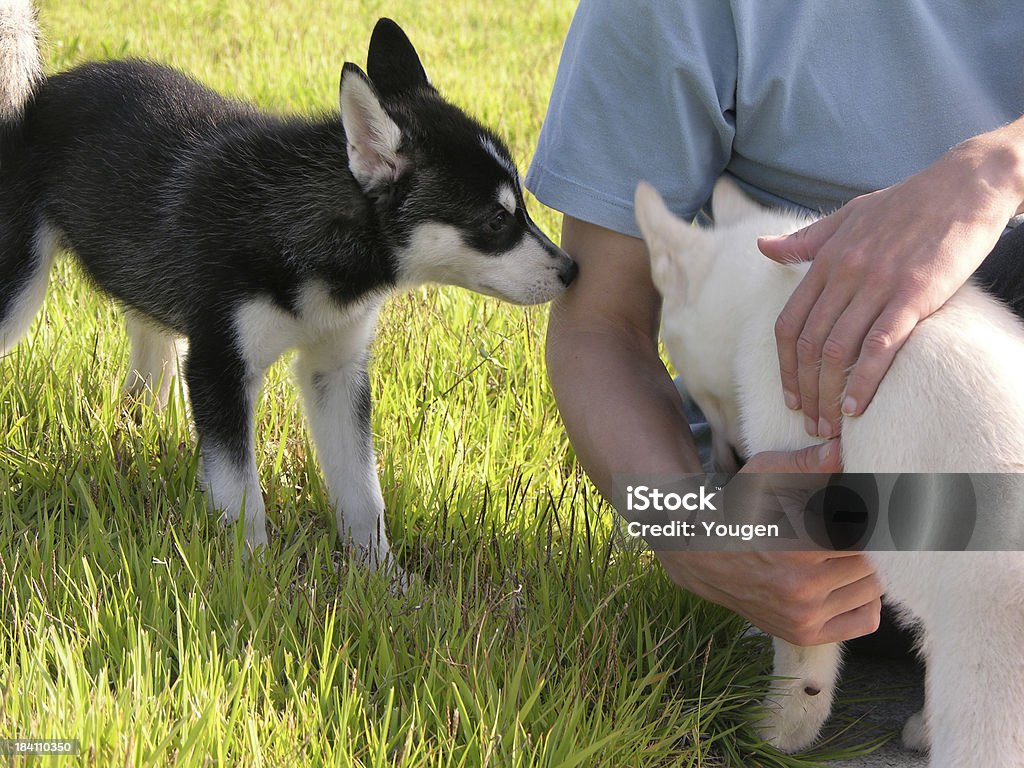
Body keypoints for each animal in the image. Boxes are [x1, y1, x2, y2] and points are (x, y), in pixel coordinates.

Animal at [0, 1, 577, 565]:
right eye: (496, 222)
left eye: (522, 208)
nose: (572, 270)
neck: (300, 229)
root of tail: (44, 88)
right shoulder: (220, 366)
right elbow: (241, 494)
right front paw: (252, 575)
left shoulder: (337, 370)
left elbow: (363, 495)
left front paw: (382, 577)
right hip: (19, 292)